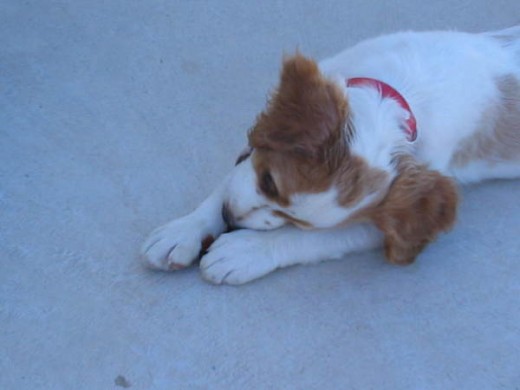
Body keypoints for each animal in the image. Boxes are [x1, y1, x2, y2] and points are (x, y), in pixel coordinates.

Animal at [141, 26, 520, 284]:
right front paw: (182, 232)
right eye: (267, 180)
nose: (230, 219)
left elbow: (310, 240)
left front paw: (243, 251)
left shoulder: (386, 221)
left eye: (299, 222)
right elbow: (229, 180)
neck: (402, 92)